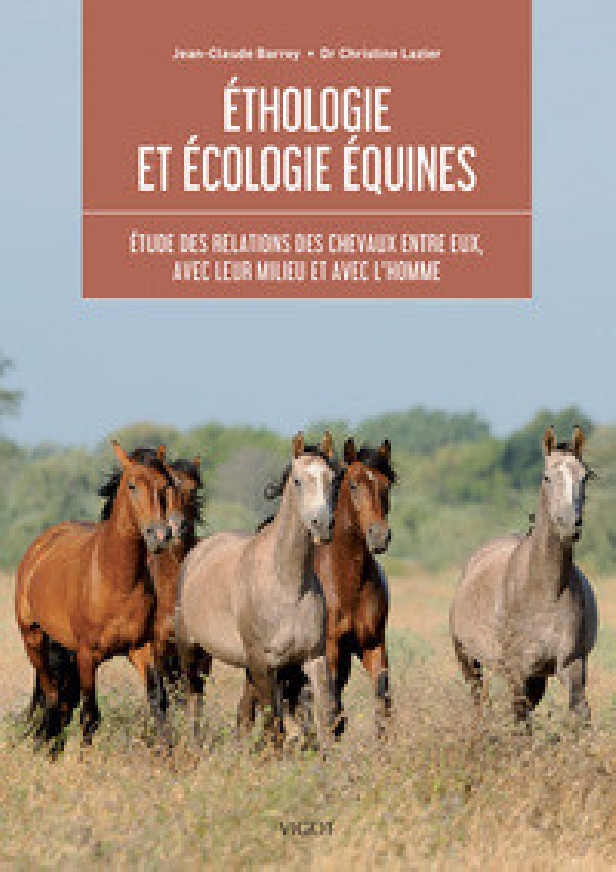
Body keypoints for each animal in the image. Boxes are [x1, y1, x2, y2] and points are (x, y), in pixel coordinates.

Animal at [15, 442, 180, 755]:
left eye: (165, 485)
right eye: (131, 485)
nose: (160, 535)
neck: (114, 579)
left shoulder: (141, 648)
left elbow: (159, 703)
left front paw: (170, 757)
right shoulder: (86, 654)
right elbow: (90, 715)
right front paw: (84, 761)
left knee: (61, 701)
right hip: (35, 640)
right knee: (53, 698)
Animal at [175, 432, 339, 750]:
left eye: (332, 479)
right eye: (297, 480)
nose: (323, 525)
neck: (287, 585)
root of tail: (198, 551)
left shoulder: (312, 657)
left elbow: (324, 719)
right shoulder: (264, 663)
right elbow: (274, 726)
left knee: (241, 716)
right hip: (192, 652)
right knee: (194, 703)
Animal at [238, 437, 395, 739]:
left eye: (387, 485)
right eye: (354, 484)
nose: (379, 535)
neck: (346, 581)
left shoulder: (372, 644)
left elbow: (382, 702)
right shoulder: (329, 649)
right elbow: (328, 712)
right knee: (249, 709)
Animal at [449, 426, 598, 729]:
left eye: (584, 476)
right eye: (547, 476)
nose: (570, 524)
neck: (544, 590)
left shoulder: (572, 664)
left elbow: (580, 715)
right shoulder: (517, 670)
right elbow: (521, 722)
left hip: (537, 676)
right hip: (469, 661)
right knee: (479, 703)